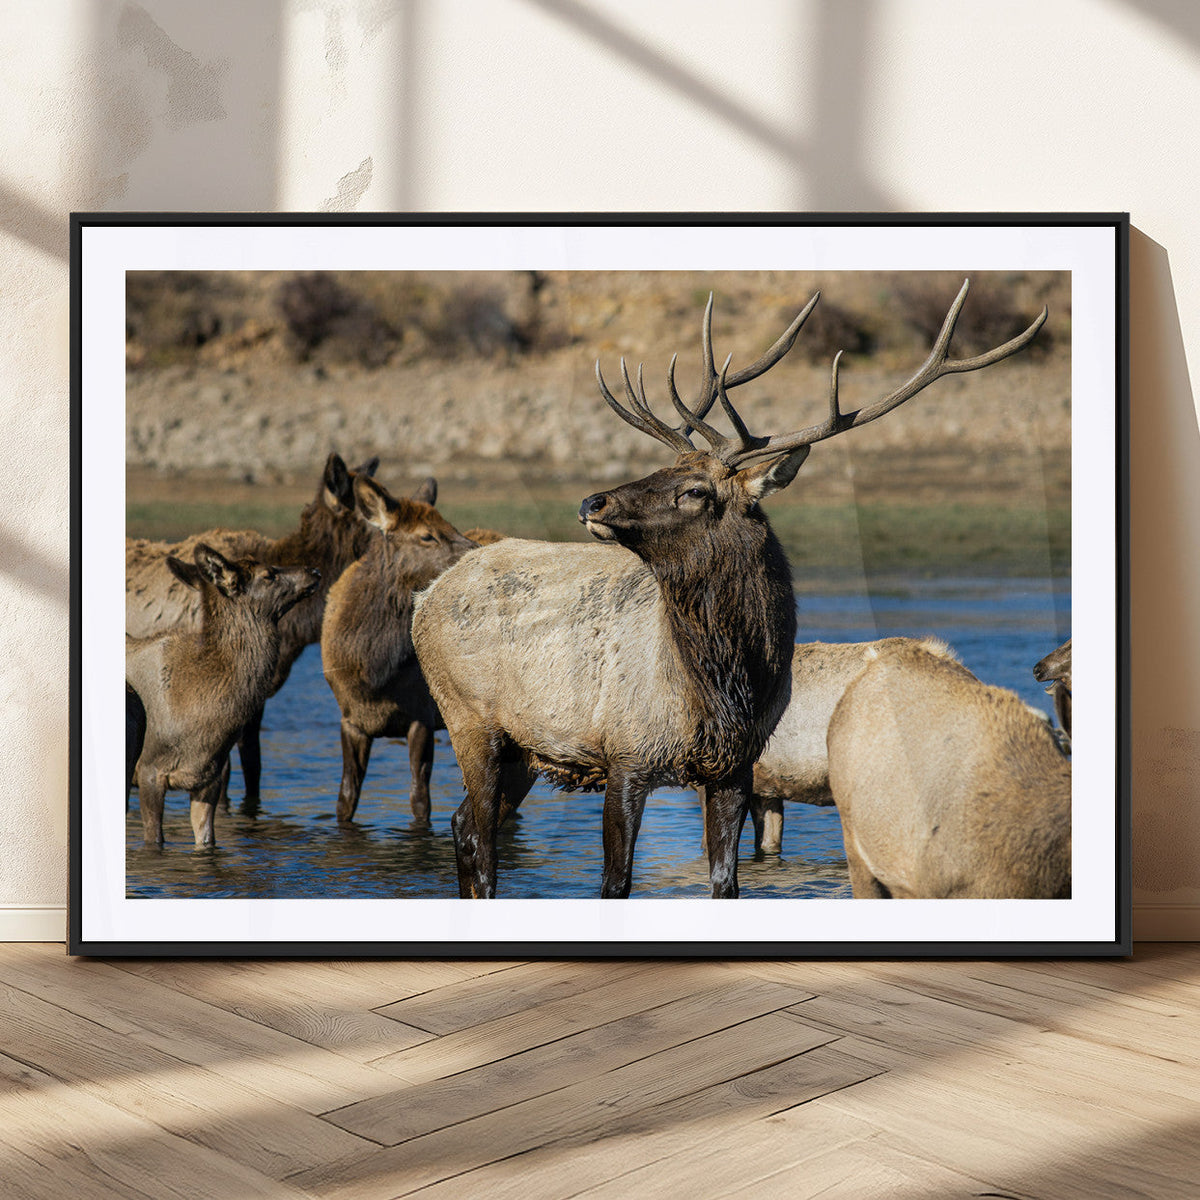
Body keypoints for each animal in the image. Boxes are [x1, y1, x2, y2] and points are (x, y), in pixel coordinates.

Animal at [126, 544, 320, 848]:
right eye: (268, 574)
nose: (314, 571)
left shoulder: (209, 777)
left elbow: (207, 840)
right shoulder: (148, 770)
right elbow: (154, 840)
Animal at [321, 474, 478, 824]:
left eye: (452, 525)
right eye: (426, 535)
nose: (477, 552)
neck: (374, 672)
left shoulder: (422, 716)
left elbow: (420, 800)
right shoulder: (350, 719)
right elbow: (345, 800)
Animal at [413, 280, 1046, 900]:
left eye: (693, 489)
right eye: (661, 469)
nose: (592, 501)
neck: (722, 687)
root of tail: (428, 595)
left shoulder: (737, 769)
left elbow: (727, 882)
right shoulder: (627, 753)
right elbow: (615, 883)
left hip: (521, 746)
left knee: (464, 825)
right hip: (468, 718)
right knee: (479, 840)